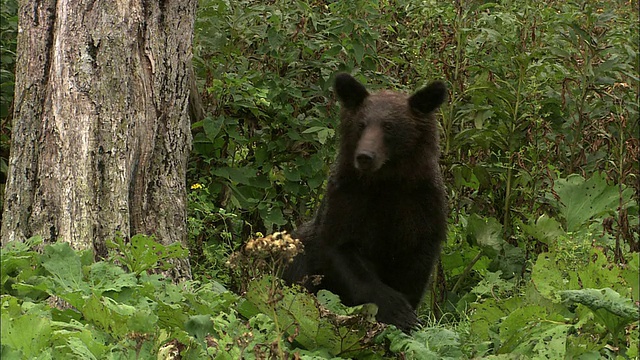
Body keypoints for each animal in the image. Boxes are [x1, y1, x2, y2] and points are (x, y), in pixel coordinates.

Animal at [282, 73, 448, 332]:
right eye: (361, 124)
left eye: (389, 126)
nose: (364, 156)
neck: (386, 181)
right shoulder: (348, 200)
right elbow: (343, 254)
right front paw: (398, 312)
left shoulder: (421, 206)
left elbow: (415, 265)